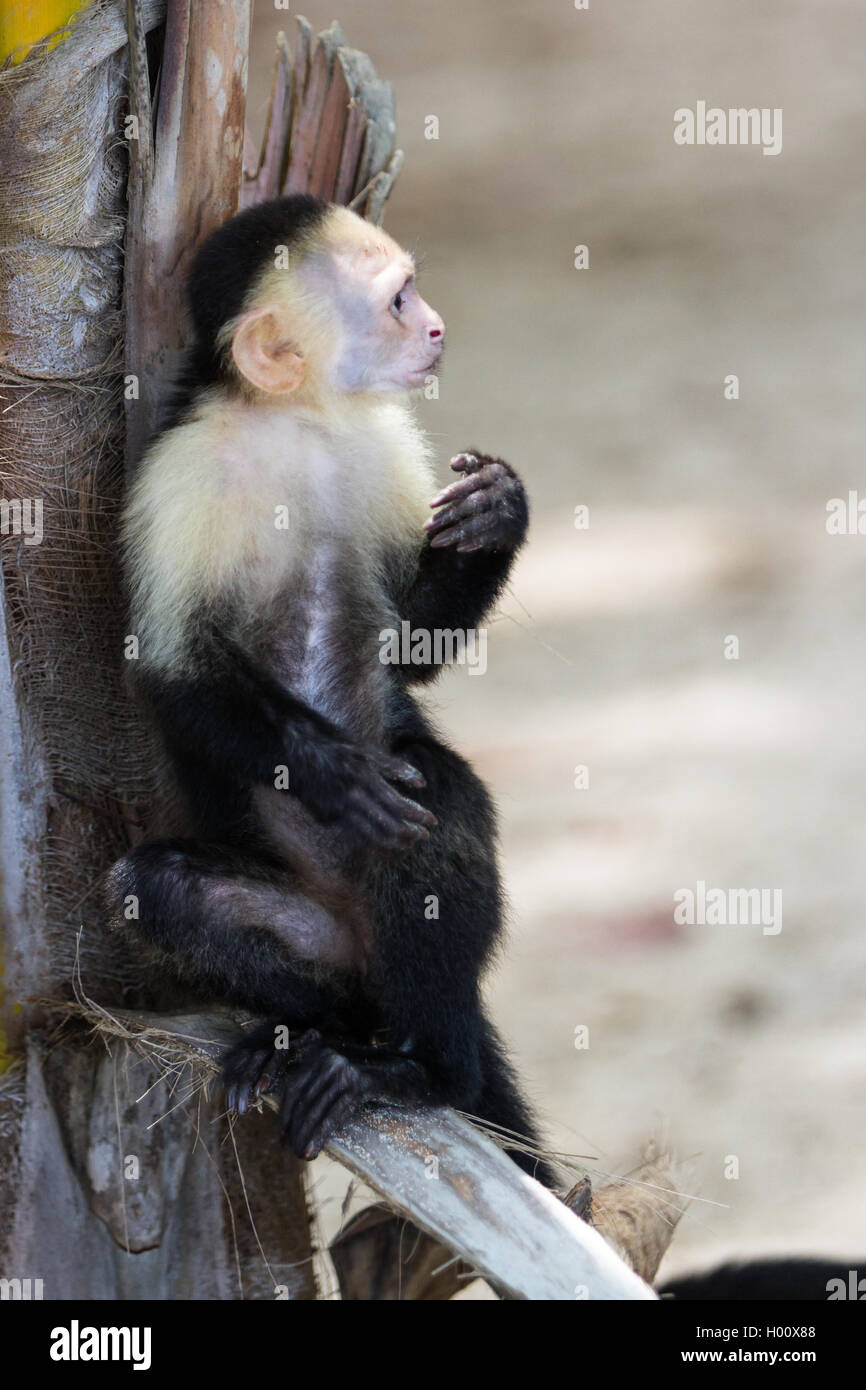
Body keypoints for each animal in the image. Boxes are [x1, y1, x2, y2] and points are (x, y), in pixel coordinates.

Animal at [104, 193, 555, 1186]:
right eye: (397, 301)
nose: (436, 327)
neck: (295, 424)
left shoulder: (387, 445)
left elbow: (410, 652)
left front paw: (498, 510)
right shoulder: (177, 479)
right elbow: (167, 672)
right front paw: (326, 770)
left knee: (432, 802)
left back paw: (422, 1069)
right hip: (321, 942)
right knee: (156, 888)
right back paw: (308, 1034)